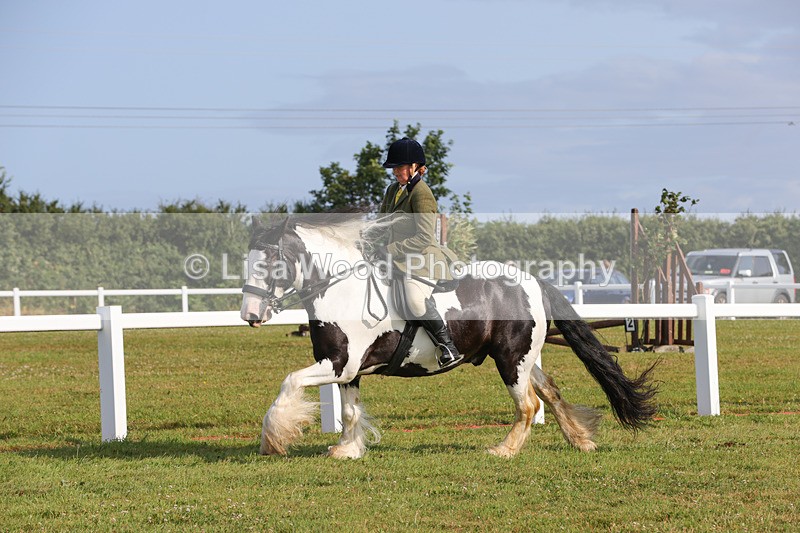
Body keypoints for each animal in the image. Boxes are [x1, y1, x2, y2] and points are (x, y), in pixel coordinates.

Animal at [240, 213, 658, 459]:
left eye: (272, 261)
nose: (249, 315)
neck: (340, 290)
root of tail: (533, 281)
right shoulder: (348, 371)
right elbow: (348, 410)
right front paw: (347, 449)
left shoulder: (339, 364)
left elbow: (290, 382)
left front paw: (273, 439)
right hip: (522, 356)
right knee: (550, 393)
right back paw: (581, 440)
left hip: (510, 359)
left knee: (528, 405)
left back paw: (503, 450)